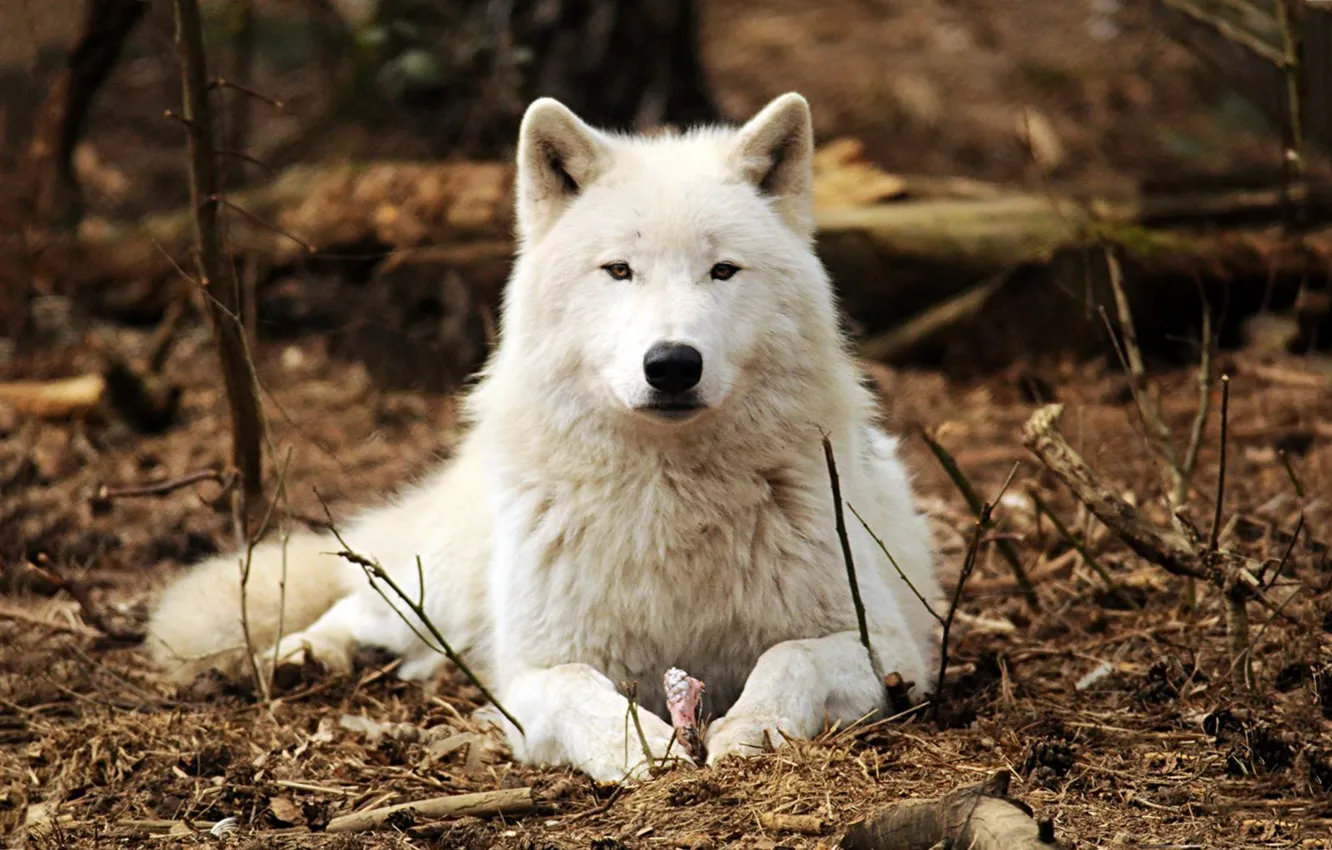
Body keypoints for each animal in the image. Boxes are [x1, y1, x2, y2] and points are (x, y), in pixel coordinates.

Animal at [146, 92, 942, 783]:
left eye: (723, 270)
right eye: (619, 270)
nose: (672, 364)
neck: (672, 498)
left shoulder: (888, 651)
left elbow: (789, 658)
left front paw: (751, 731)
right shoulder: (529, 672)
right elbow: (579, 688)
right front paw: (643, 748)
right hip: (440, 581)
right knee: (362, 604)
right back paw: (298, 657)